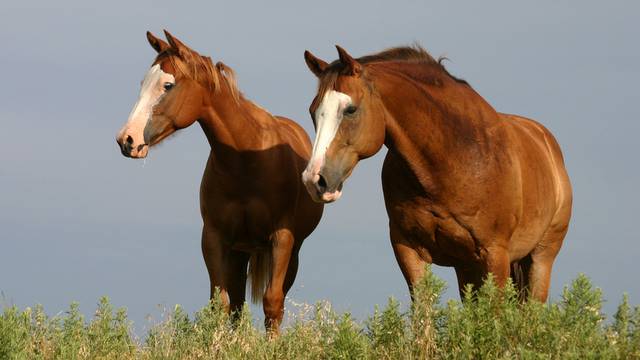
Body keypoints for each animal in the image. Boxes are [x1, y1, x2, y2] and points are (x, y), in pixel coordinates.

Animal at [115, 31, 322, 332]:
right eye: (143, 83)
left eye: (167, 85)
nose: (127, 139)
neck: (246, 159)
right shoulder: (214, 238)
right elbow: (220, 304)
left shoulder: (281, 239)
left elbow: (273, 303)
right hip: (239, 252)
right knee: (236, 304)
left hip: (290, 252)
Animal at [302, 45, 572, 304]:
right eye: (313, 111)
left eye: (350, 109)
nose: (315, 180)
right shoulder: (409, 249)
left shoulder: (495, 255)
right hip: (467, 268)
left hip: (540, 259)